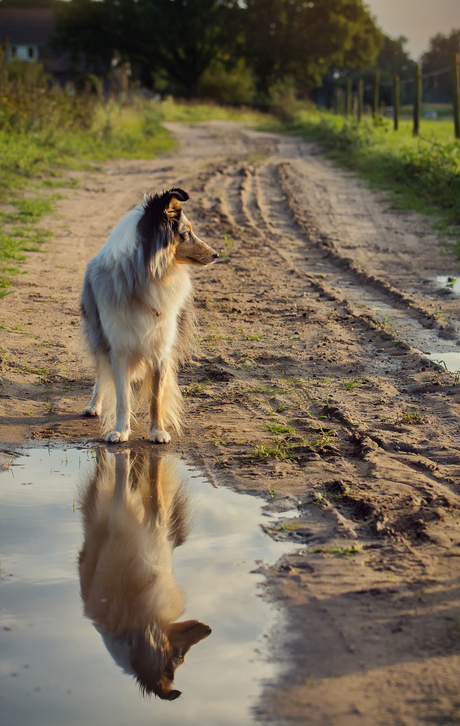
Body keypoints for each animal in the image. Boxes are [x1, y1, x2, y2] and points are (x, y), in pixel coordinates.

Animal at [80, 188, 218, 444]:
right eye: (187, 233)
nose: (216, 254)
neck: (148, 276)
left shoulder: (160, 348)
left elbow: (156, 396)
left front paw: (157, 431)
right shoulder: (118, 348)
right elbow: (122, 396)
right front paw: (120, 431)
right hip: (99, 335)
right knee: (101, 374)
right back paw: (93, 406)